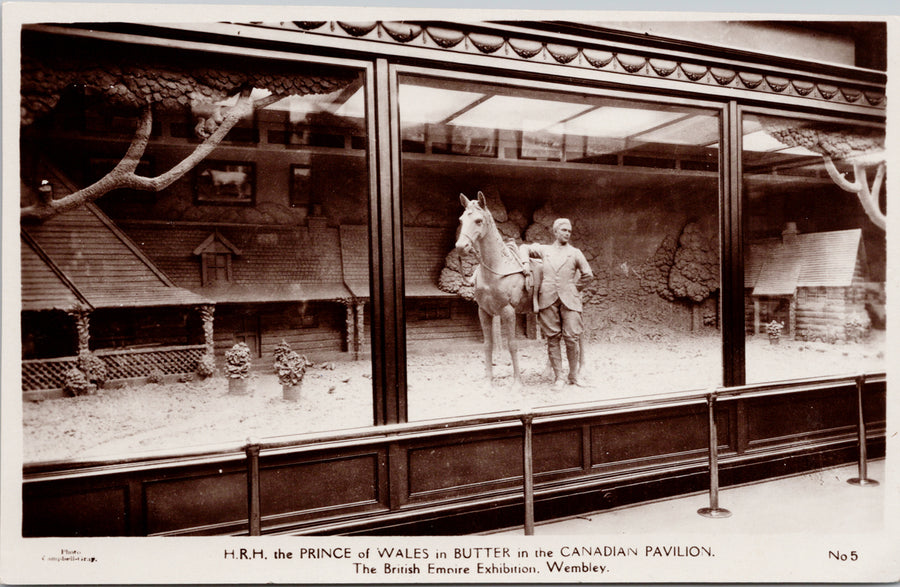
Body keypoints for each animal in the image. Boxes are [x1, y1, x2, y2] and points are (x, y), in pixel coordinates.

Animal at [454, 191, 532, 388]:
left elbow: (512, 344)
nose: (461, 247)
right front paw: (488, 380)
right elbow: (487, 344)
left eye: (478, 220)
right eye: (461, 219)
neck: (497, 269)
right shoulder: (484, 312)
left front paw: (517, 383)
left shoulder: (508, 311)